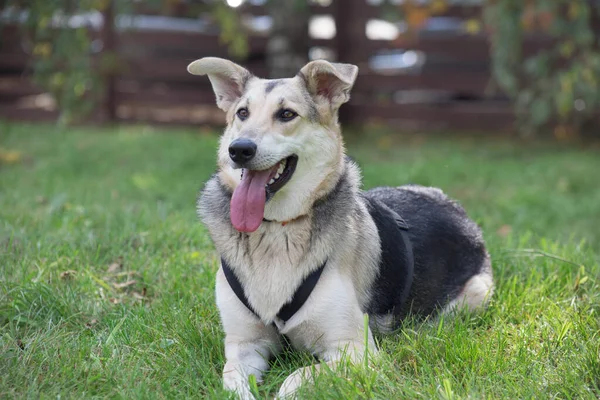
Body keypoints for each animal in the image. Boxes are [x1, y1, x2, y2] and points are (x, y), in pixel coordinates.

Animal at [190, 55, 494, 396]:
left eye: (286, 114)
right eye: (242, 113)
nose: (240, 149)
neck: (277, 228)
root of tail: (453, 205)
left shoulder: (356, 351)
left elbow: (297, 377)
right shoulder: (244, 345)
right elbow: (233, 381)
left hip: (474, 295)